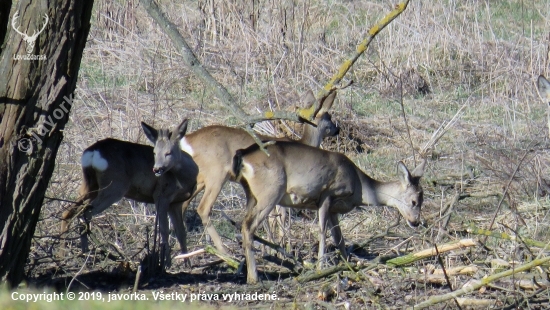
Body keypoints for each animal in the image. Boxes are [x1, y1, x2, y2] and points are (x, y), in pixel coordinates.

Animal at [60, 120, 199, 268]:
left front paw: (188, 264)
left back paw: (72, 254)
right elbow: (164, 230)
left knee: (69, 212)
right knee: (85, 213)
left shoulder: (176, 203)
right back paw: (95, 251)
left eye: (169, 152)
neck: (184, 178)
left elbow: (181, 232)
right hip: (114, 186)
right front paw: (167, 264)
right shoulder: (161, 196)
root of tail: (92, 152)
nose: (157, 169)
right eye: (155, 152)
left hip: (90, 186)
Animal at [179, 89, 340, 254]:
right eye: (329, 117)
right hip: (216, 174)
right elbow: (279, 217)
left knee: (183, 204)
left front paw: (270, 247)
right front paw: (279, 247)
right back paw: (223, 250)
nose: (337, 129)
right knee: (203, 208)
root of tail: (187, 140)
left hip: (200, 177)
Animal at [233, 142, 426, 284]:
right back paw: (254, 277)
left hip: (251, 195)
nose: (416, 222)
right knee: (248, 226)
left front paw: (348, 266)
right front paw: (321, 267)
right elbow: (322, 232)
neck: (359, 187)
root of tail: (244, 156)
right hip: (270, 191)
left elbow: (339, 239)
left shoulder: (335, 209)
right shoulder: (327, 194)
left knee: (245, 223)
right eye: (414, 201)